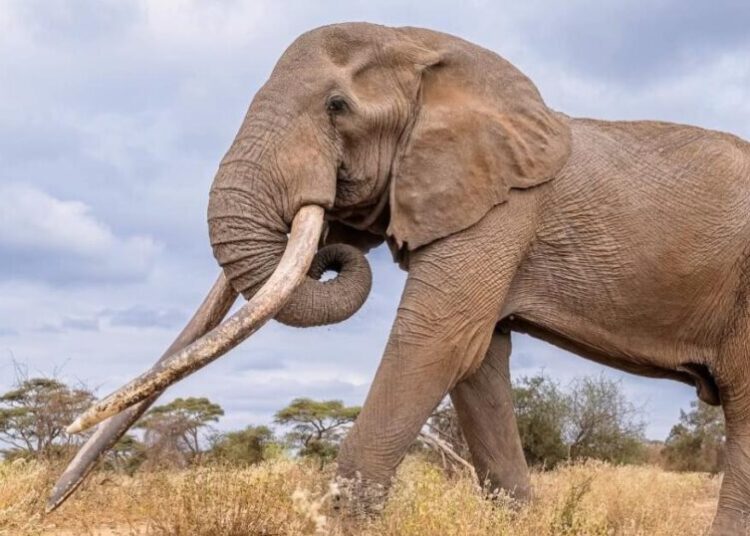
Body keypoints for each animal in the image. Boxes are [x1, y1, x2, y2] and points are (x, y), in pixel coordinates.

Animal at [50, 23, 750, 535]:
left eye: (336, 107)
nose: (48, 501)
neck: (429, 52)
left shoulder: (502, 209)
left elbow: (437, 343)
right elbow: (477, 363)